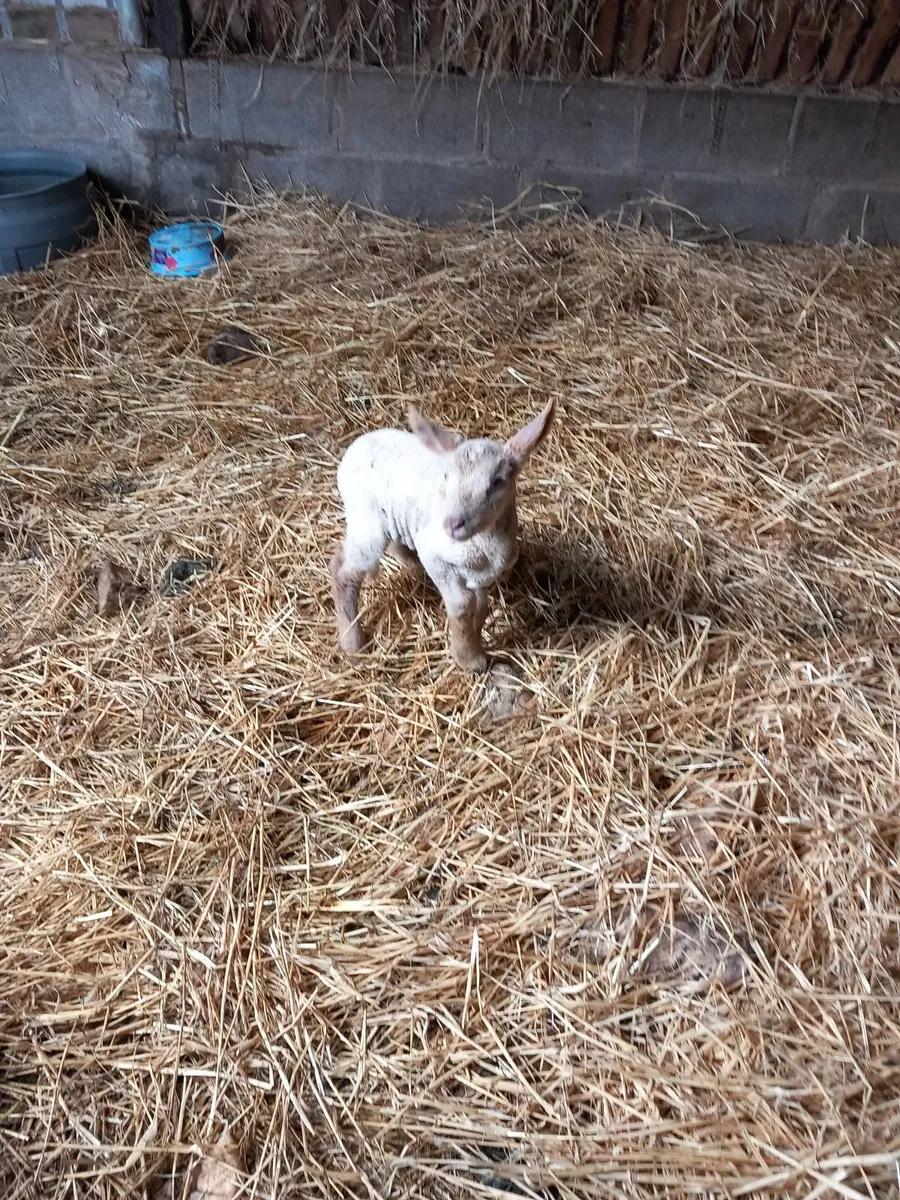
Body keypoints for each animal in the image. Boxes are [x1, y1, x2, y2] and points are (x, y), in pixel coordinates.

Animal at [331, 400, 554, 672]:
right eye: (447, 477)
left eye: (498, 481)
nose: (451, 524)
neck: (482, 545)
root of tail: (358, 443)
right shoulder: (436, 557)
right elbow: (463, 604)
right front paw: (469, 658)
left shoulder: (480, 577)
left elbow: (481, 606)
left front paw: (474, 640)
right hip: (366, 518)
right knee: (345, 574)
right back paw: (352, 642)